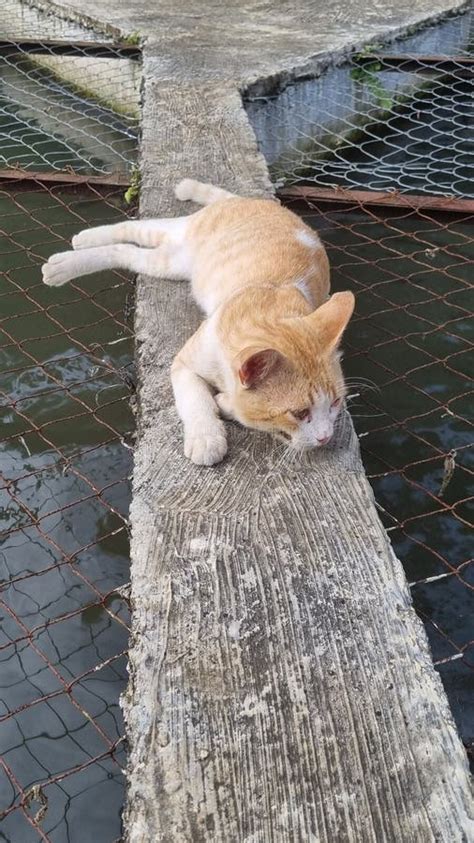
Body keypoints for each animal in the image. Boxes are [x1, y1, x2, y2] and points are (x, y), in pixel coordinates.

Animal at [42, 180, 354, 468]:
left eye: (336, 402)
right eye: (300, 413)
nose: (326, 437)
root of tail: (259, 202)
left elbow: (232, 406)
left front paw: (225, 405)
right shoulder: (182, 365)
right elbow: (196, 401)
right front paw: (207, 438)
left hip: (170, 262)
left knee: (130, 249)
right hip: (175, 242)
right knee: (128, 233)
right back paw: (69, 256)